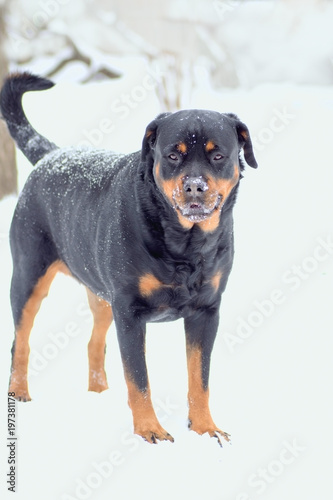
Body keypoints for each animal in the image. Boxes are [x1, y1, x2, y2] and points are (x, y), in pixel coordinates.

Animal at [0, 71, 256, 446]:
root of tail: (54, 154)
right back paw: (19, 392)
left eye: (219, 156)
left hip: (102, 295)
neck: (185, 243)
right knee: (21, 339)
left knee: (94, 342)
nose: (195, 186)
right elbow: (138, 378)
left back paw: (98, 393)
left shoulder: (206, 311)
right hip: (29, 274)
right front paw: (149, 430)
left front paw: (205, 428)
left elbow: (200, 378)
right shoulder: (130, 311)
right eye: (173, 156)